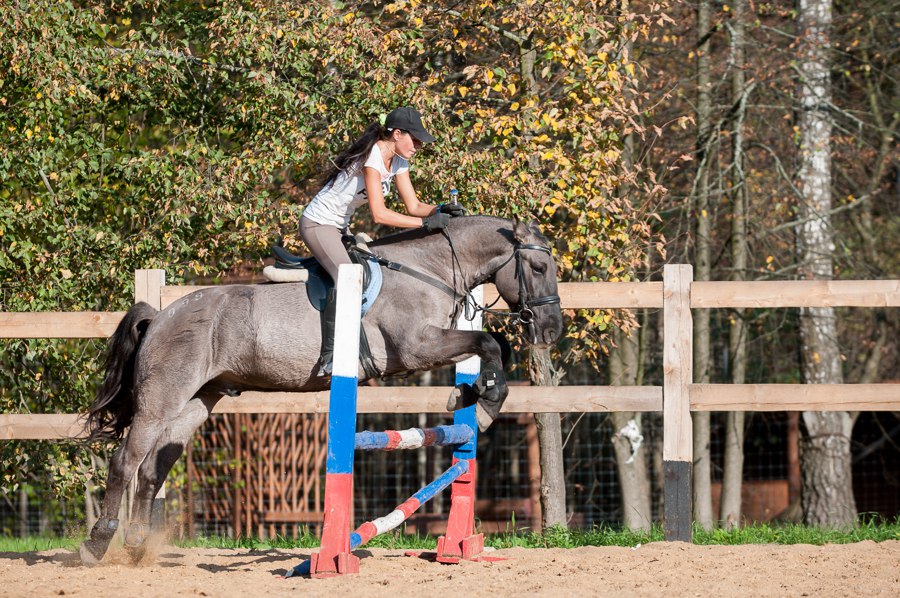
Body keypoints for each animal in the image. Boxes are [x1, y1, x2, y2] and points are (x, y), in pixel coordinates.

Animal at [79, 216, 564, 568]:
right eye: (539, 268)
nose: (551, 331)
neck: (430, 270)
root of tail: (160, 316)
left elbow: (492, 344)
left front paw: (470, 397)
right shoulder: (416, 347)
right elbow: (487, 343)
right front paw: (481, 405)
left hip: (197, 403)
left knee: (151, 469)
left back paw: (137, 546)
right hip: (161, 400)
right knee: (125, 462)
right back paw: (97, 544)